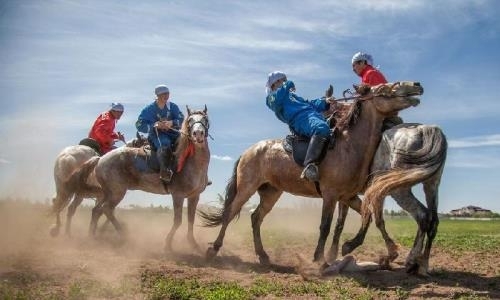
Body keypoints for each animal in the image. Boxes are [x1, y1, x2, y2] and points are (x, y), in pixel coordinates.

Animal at [198, 81, 422, 264]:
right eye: (384, 87)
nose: (417, 85)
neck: (349, 146)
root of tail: (249, 151)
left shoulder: (348, 197)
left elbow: (369, 218)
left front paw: (387, 251)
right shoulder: (331, 195)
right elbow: (325, 226)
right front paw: (319, 258)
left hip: (271, 193)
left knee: (255, 218)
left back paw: (262, 255)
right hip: (247, 188)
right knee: (229, 213)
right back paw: (213, 249)